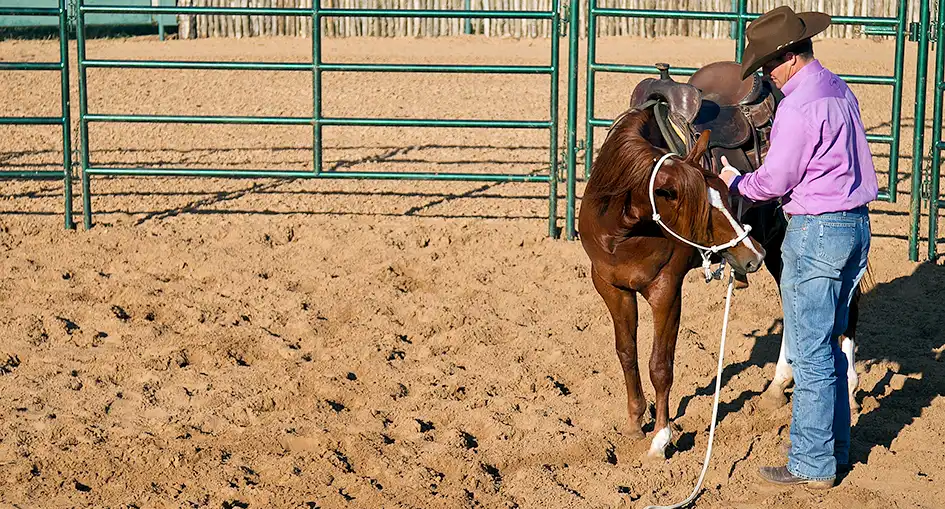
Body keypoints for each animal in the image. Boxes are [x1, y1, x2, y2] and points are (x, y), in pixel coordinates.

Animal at [578, 106, 766, 459]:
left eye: (728, 196)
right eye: (704, 209)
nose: (753, 256)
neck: (623, 234)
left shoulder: (666, 291)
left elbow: (660, 366)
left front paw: (661, 437)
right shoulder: (612, 288)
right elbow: (627, 352)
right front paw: (636, 421)